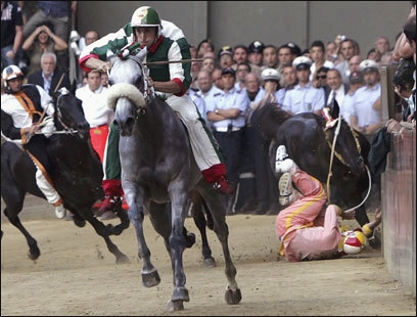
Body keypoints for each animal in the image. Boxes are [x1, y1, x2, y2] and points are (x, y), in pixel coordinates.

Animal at [106, 50, 240, 312]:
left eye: (138, 79)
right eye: (110, 81)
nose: (124, 121)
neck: (150, 138)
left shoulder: (178, 186)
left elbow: (177, 236)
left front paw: (179, 290)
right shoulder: (133, 184)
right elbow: (136, 218)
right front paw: (149, 273)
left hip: (207, 189)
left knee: (221, 230)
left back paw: (232, 287)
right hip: (157, 205)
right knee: (165, 233)